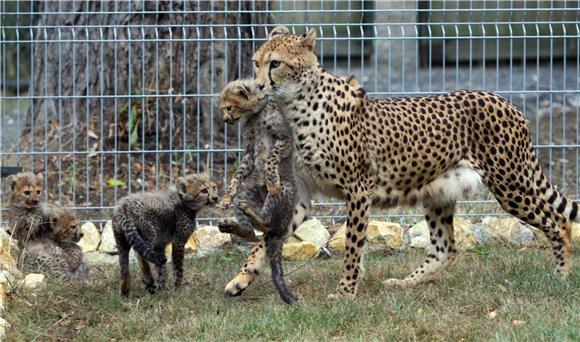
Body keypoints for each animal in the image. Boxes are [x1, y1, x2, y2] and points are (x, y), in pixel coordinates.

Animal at [225, 27, 576, 300]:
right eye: (256, 63)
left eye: (275, 64)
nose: (258, 86)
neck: (295, 105)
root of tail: (504, 99)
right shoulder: (303, 195)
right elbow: (266, 241)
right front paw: (240, 279)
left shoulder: (359, 188)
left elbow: (352, 245)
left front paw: (345, 292)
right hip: (440, 191)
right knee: (445, 247)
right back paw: (405, 283)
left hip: (510, 183)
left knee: (558, 221)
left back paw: (561, 275)